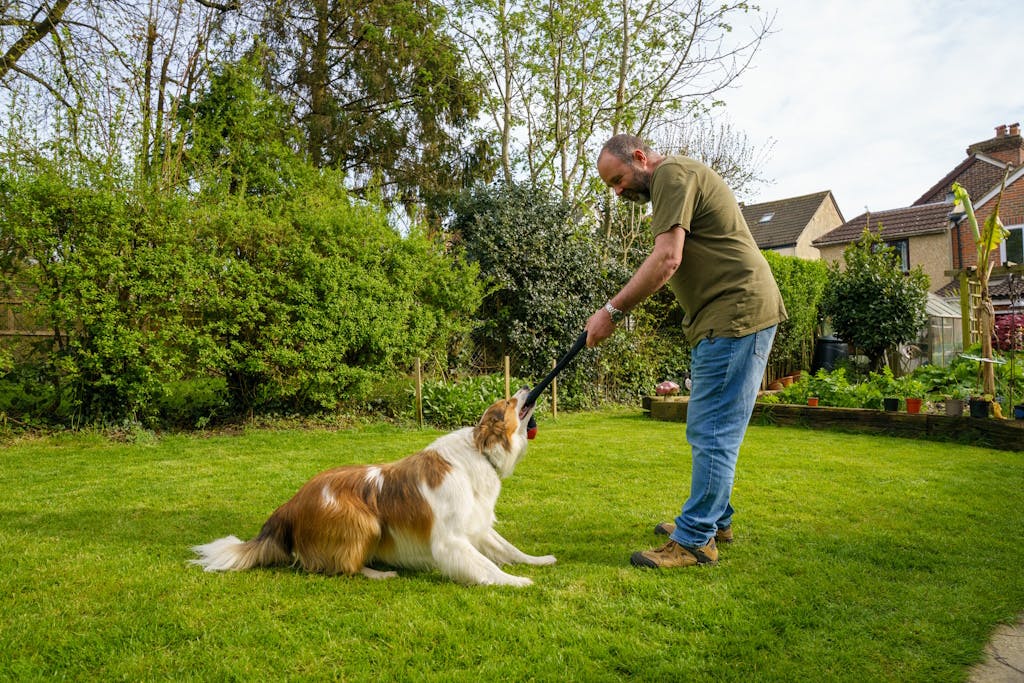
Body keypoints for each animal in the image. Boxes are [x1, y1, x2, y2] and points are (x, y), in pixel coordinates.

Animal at [186, 389, 552, 589]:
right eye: (508, 402)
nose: (525, 386)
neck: (479, 450)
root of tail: (288, 506)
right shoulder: (450, 539)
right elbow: (487, 566)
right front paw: (514, 582)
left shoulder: (477, 524)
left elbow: (508, 550)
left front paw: (538, 561)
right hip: (367, 521)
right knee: (342, 568)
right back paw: (379, 573)